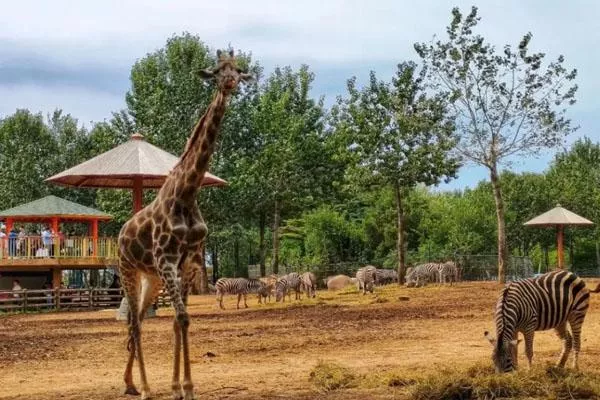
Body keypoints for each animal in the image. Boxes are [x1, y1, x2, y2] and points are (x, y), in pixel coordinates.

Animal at [118, 50, 252, 400]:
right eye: (217, 71)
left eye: (238, 70)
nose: (230, 84)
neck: (188, 192)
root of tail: (120, 234)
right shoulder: (167, 260)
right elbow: (182, 316)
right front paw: (185, 387)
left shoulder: (188, 262)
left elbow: (180, 321)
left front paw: (179, 386)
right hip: (128, 270)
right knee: (134, 323)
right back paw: (145, 388)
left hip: (151, 278)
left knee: (139, 319)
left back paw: (130, 383)